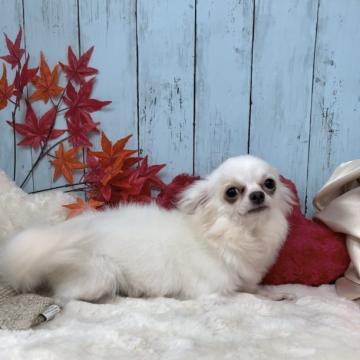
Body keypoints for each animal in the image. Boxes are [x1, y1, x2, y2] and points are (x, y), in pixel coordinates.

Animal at [0, 155, 292, 304]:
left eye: (269, 184)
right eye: (232, 192)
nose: (257, 195)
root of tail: (60, 233)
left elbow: (255, 289)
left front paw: (276, 293)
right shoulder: (212, 292)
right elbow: (245, 295)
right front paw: (270, 297)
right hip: (101, 274)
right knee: (67, 296)